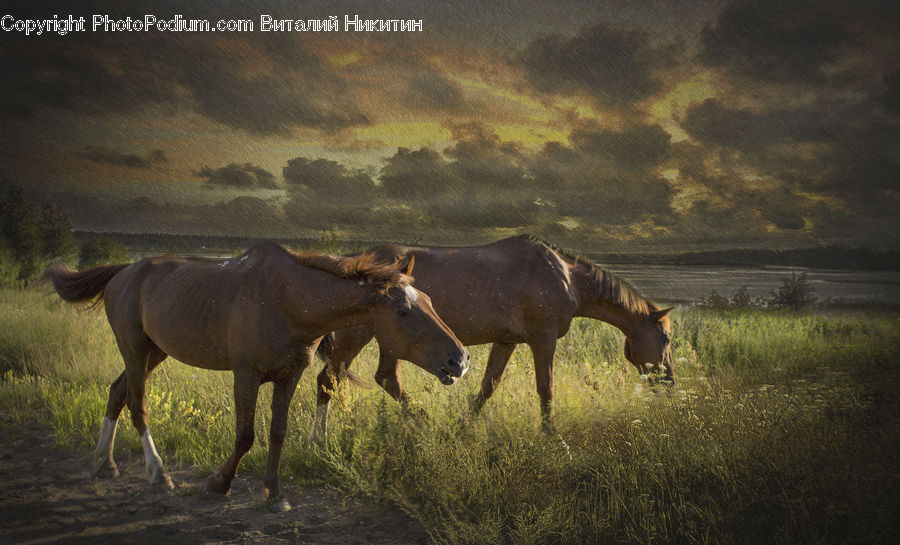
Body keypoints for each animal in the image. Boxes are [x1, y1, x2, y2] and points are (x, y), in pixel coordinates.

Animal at [47, 242, 468, 512]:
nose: (460, 360)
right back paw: (157, 473)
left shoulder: (289, 376)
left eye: (430, 301)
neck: (288, 301)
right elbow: (246, 434)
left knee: (117, 392)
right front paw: (219, 483)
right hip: (134, 348)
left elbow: (278, 432)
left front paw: (275, 492)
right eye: (402, 311)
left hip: (155, 350)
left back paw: (105, 462)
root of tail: (124, 271)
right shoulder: (245, 375)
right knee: (138, 404)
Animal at [309, 235, 672, 441]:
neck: (565, 276)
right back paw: (321, 440)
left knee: (384, 378)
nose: (669, 383)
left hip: (392, 340)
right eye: (667, 339)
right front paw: (554, 438)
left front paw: (461, 427)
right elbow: (546, 388)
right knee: (329, 379)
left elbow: (488, 387)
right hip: (359, 334)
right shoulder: (543, 339)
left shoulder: (506, 341)